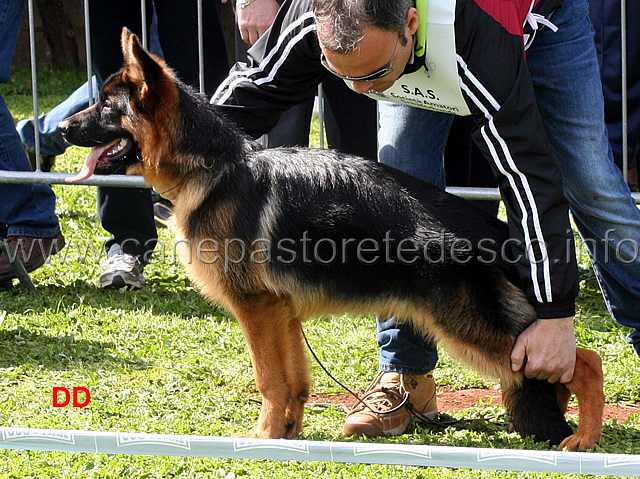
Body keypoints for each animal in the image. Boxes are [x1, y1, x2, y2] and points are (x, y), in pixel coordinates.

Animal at [60, 29, 604, 450]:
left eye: (106, 106)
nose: (63, 128)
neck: (212, 169)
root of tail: (498, 231)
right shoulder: (281, 314)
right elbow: (293, 382)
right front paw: (287, 434)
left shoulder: (256, 308)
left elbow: (269, 380)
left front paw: (262, 440)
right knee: (553, 370)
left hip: (470, 326)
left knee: (582, 360)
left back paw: (584, 438)